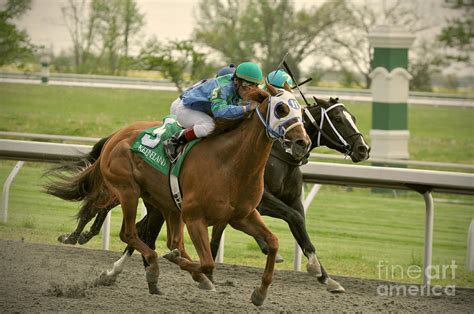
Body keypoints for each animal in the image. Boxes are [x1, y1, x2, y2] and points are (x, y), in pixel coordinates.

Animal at [45, 82, 312, 306]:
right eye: (281, 108)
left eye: (301, 111)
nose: (303, 143)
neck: (230, 163)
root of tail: (117, 135)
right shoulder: (195, 217)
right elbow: (207, 262)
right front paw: (181, 265)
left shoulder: (242, 216)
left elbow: (273, 243)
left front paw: (260, 293)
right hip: (128, 190)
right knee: (130, 233)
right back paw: (151, 267)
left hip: (165, 203)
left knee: (169, 240)